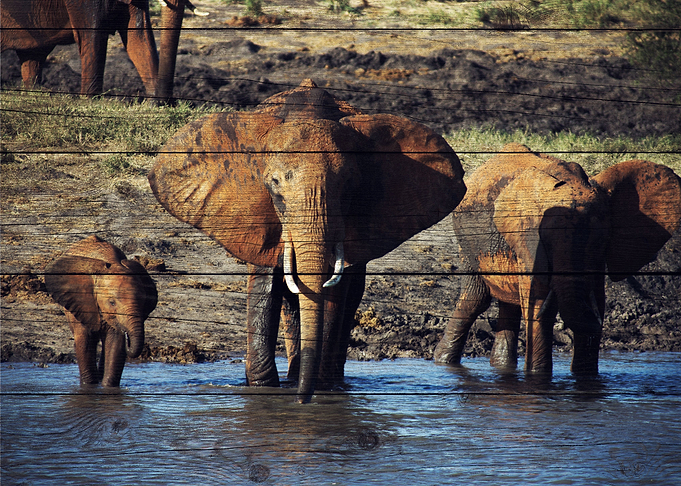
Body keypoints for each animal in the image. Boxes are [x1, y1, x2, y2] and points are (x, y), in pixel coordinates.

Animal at [45, 236, 158, 387]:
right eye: (112, 302)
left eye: (143, 302)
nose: (128, 338)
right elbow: (84, 341)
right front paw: (89, 386)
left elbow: (115, 343)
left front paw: (106, 387)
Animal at [148, 79, 466, 402]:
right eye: (274, 184)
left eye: (349, 186)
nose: (302, 400)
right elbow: (265, 285)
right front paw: (263, 389)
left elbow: (334, 292)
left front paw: (321, 390)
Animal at [434, 143, 681, 376]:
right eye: (548, 243)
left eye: (601, 242)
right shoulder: (528, 242)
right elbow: (538, 304)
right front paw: (538, 377)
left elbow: (597, 299)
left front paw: (585, 377)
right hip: (467, 242)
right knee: (476, 298)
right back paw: (443, 361)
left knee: (508, 303)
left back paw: (501, 366)